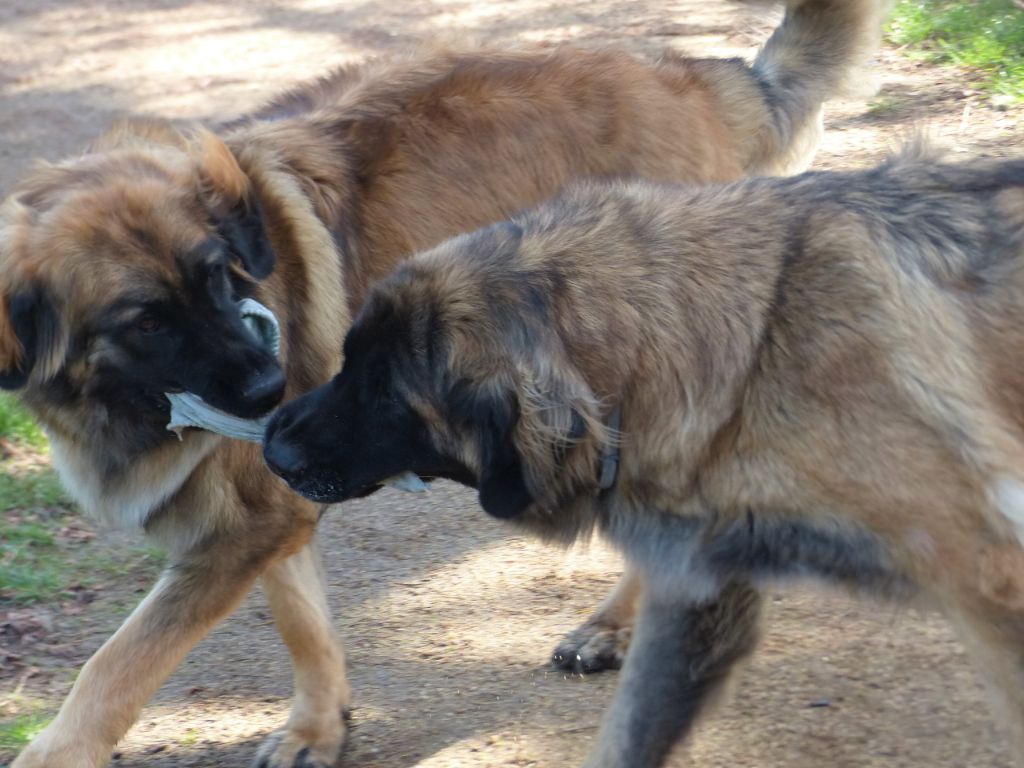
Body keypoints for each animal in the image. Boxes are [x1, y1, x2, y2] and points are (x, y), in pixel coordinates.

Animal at [0, 3, 880, 765]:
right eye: (146, 321)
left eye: (218, 276)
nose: (270, 387)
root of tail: (702, 78)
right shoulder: (268, 507)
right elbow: (300, 620)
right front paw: (320, 727)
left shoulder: (239, 526)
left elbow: (114, 669)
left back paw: (615, 624)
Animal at [262, 147, 1024, 765]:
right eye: (347, 358)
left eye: (385, 390)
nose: (269, 443)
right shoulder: (697, 590)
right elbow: (625, 738)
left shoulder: (987, 581)